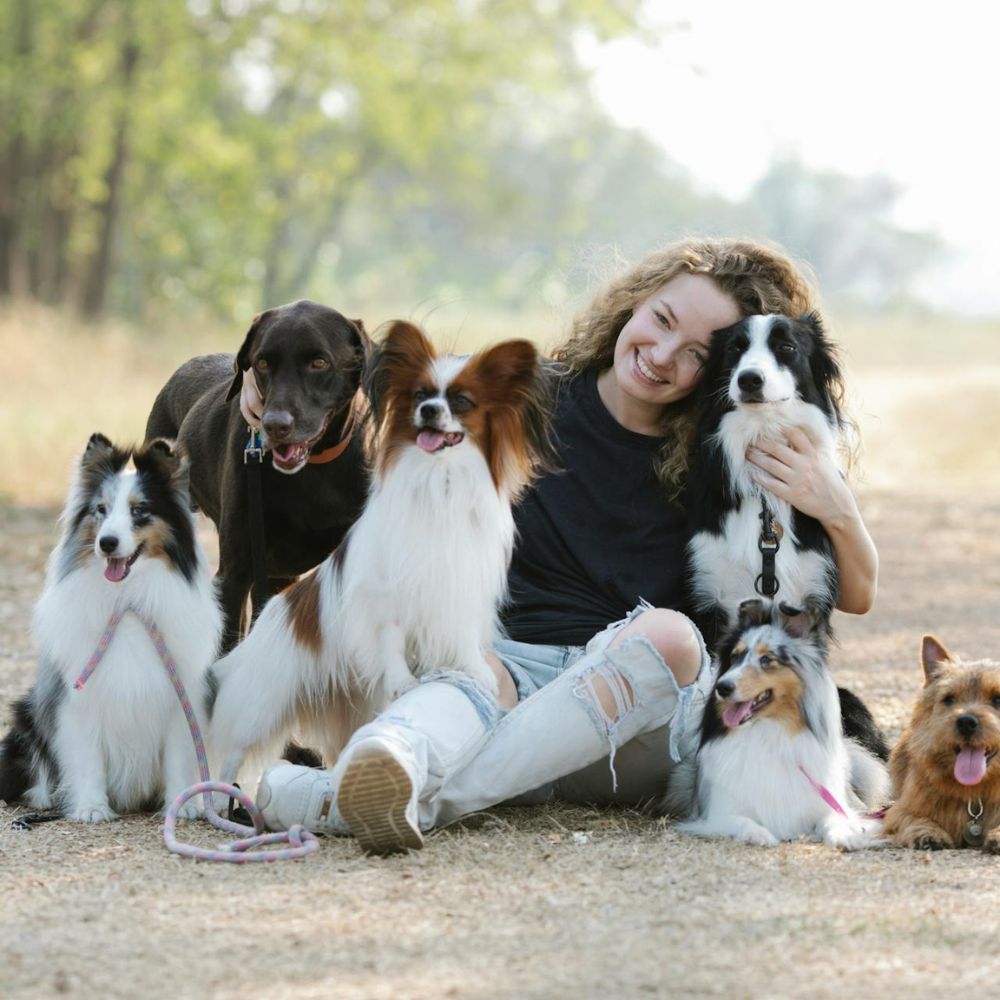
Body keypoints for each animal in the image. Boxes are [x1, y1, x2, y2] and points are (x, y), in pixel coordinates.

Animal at [0, 436, 221, 820]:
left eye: (139, 511)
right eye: (100, 509)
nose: (107, 543)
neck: (128, 602)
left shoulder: (181, 697)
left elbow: (179, 758)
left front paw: (181, 805)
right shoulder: (77, 699)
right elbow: (88, 758)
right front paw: (91, 807)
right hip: (27, 715)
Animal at [210, 324, 552, 784]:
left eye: (462, 400)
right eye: (420, 395)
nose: (429, 410)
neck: (440, 480)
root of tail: (275, 608)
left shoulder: (460, 585)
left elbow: (462, 635)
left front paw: (476, 671)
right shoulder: (383, 591)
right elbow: (390, 636)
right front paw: (402, 681)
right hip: (261, 706)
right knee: (231, 752)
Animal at [664, 596, 884, 848]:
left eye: (766, 659)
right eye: (735, 657)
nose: (722, 687)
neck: (768, 731)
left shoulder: (823, 804)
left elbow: (834, 819)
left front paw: (845, 835)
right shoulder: (718, 813)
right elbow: (742, 821)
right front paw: (760, 835)